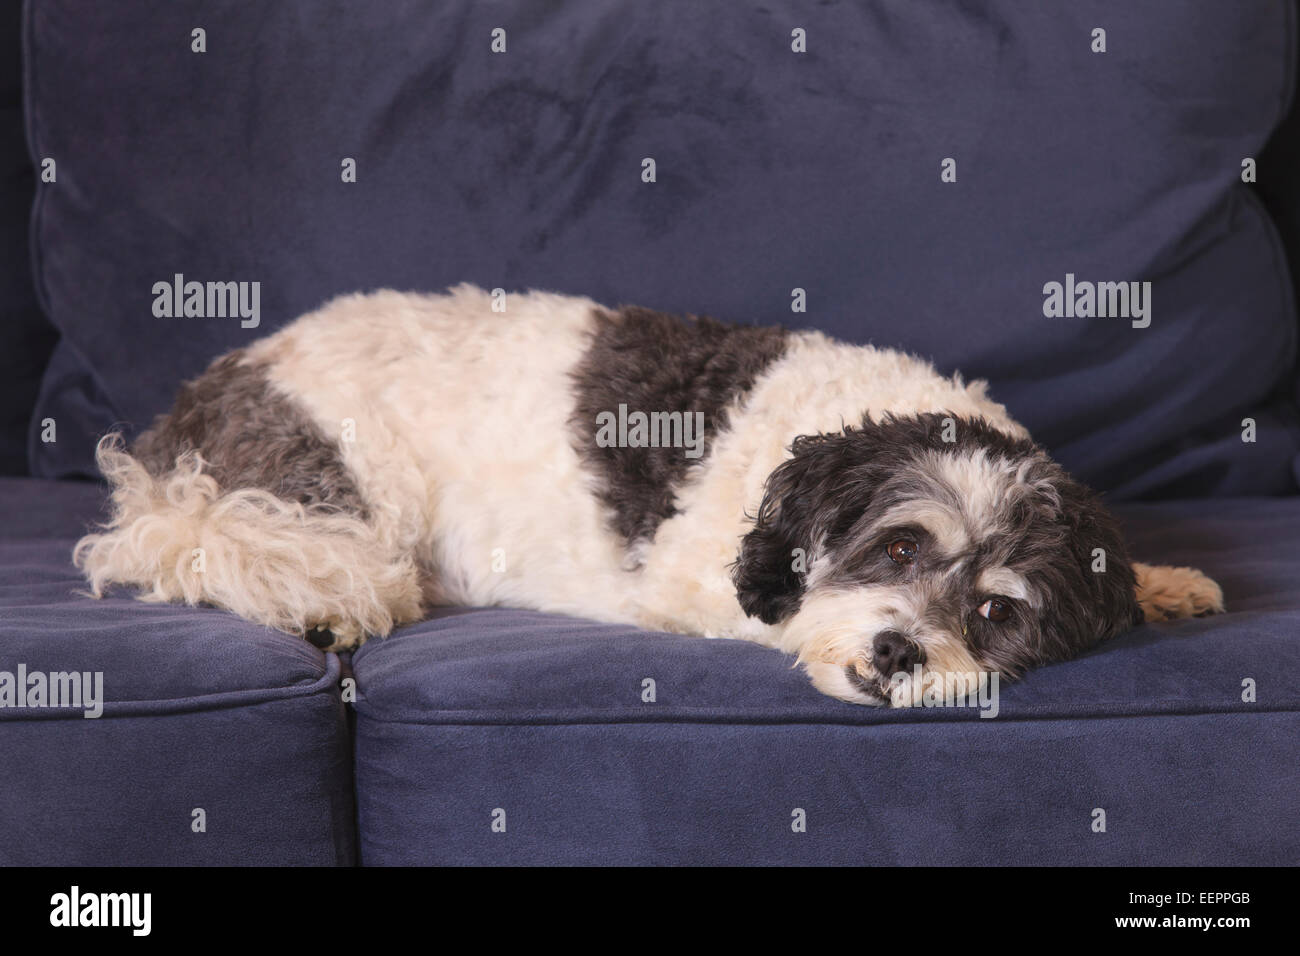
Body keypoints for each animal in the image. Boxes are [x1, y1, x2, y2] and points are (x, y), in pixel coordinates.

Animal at [76, 283, 1222, 702]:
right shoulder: (688, 582)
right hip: (330, 482)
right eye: (898, 549)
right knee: (240, 547)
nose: (901, 652)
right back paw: (320, 602)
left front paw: (1162, 583)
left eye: (993, 613)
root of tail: (209, 389)